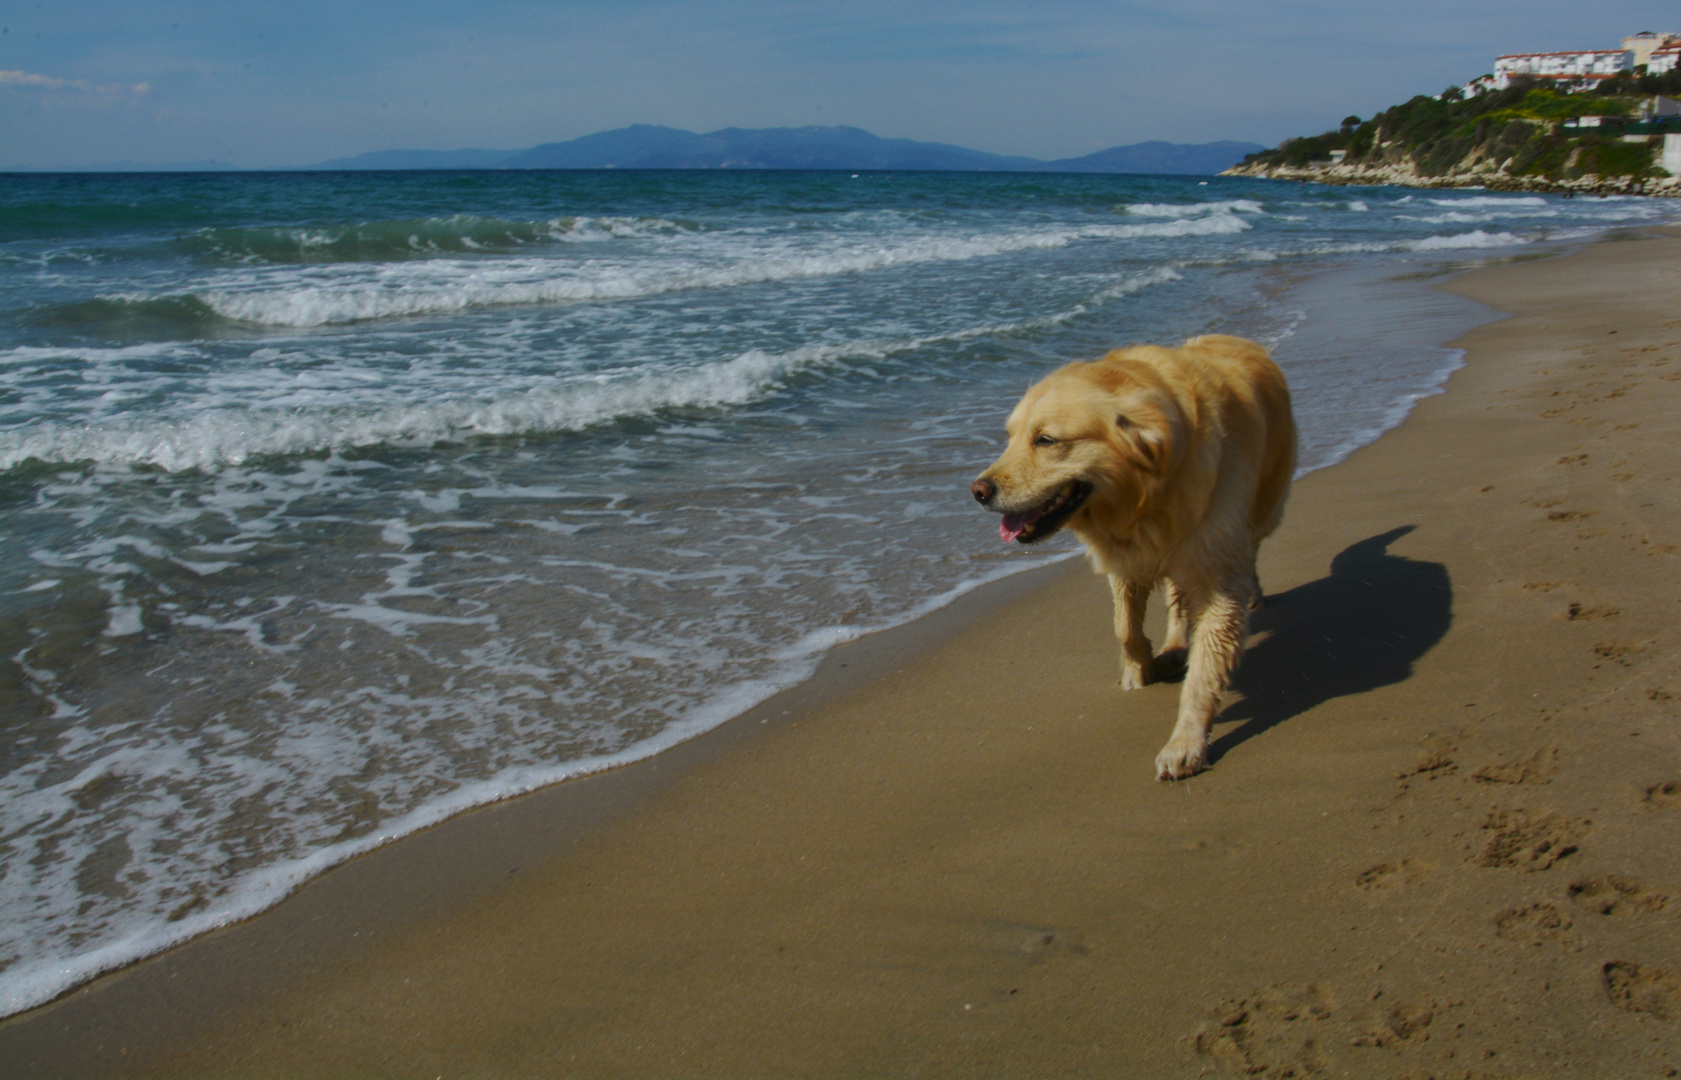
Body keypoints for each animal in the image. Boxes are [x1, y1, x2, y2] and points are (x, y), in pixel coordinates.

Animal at [968, 333, 1291, 777]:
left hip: (1261, 508)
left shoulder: (1215, 571)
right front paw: (1138, 669)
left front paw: (1185, 742)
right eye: (1010, 437)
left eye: (1046, 440)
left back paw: (1251, 592)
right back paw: (1173, 647)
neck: (1144, 497)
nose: (978, 491)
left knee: (1250, 547)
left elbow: (1205, 669)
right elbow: (1124, 627)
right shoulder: (1125, 558)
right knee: (1177, 599)